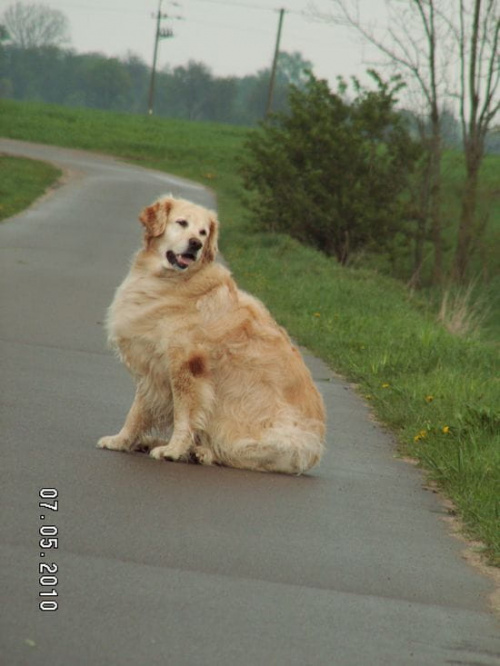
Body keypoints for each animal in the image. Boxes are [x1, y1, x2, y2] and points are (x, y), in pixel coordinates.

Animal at [97, 193, 324, 472]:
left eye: (203, 233)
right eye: (182, 223)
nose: (195, 244)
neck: (172, 281)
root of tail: (315, 451)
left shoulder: (187, 367)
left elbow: (185, 416)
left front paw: (173, 450)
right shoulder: (152, 367)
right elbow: (137, 411)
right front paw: (121, 440)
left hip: (259, 437)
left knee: (232, 454)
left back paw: (199, 452)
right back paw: (154, 442)